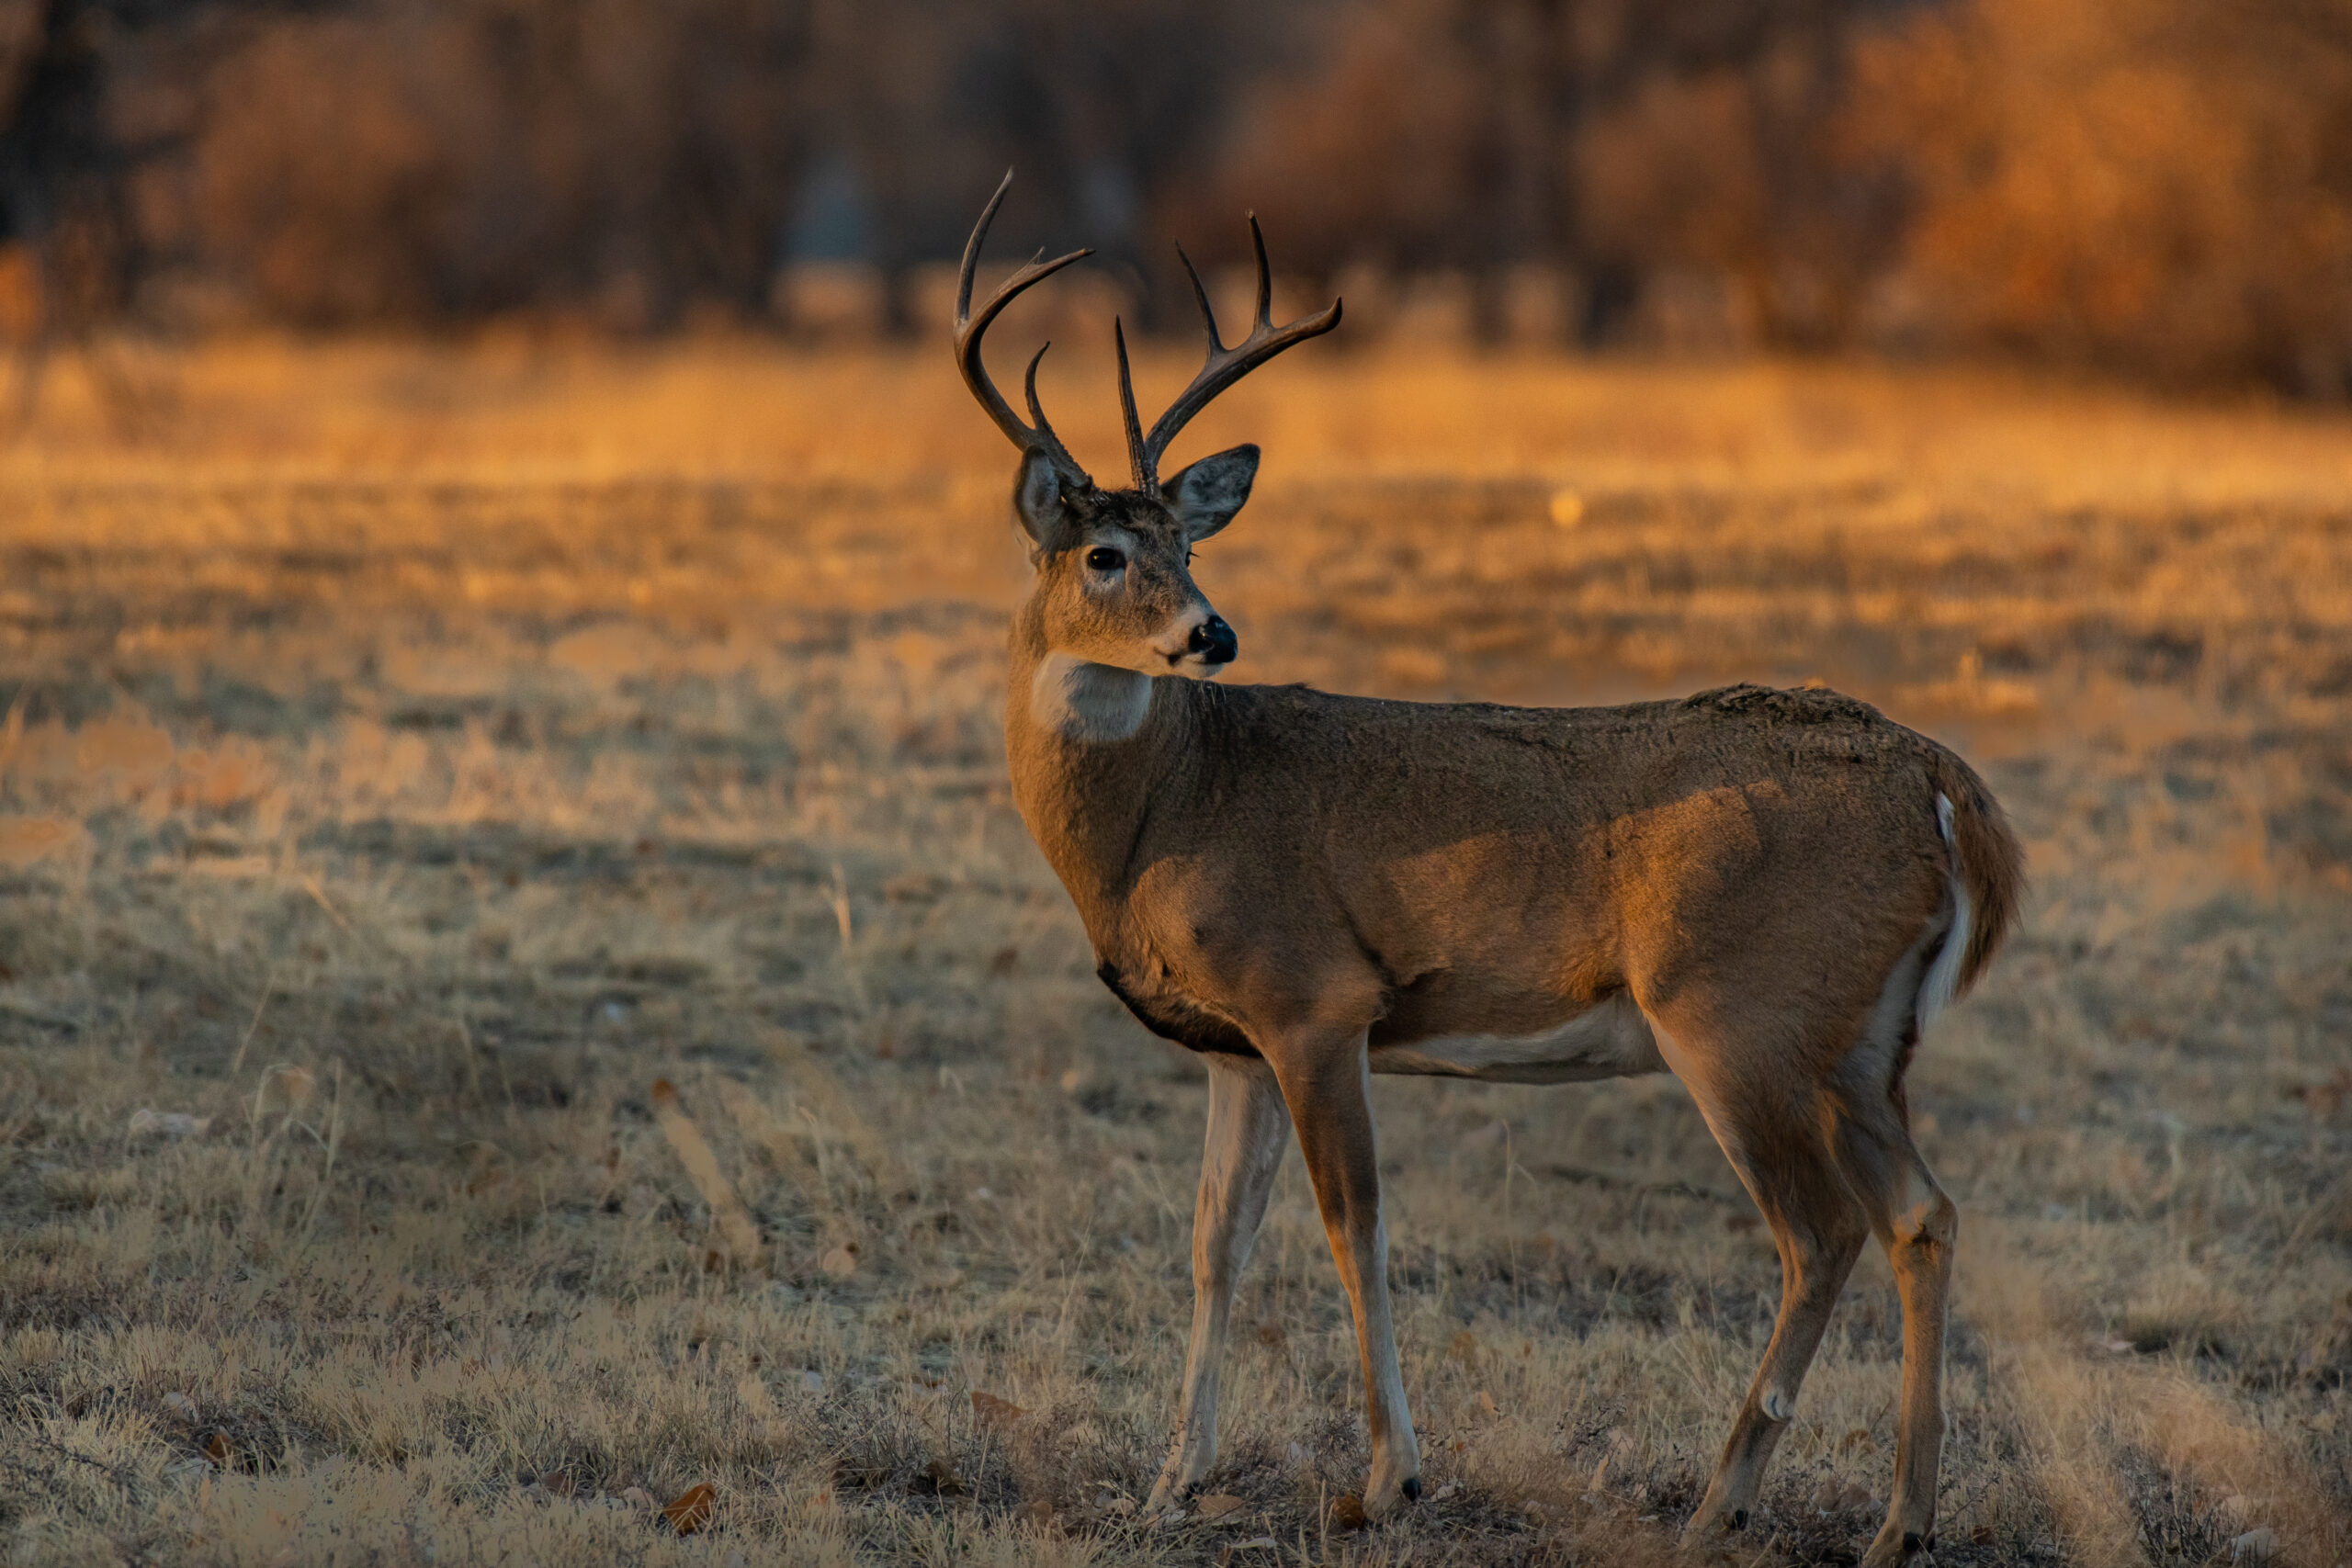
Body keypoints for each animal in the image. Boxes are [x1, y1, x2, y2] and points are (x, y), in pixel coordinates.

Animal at [955, 175, 2022, 1568]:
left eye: (1183, 546)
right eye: (1106, 555)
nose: (1213, 632)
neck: (1171, 808)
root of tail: (1943, 784)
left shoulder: (1316, 1000)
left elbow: (1354, 1228)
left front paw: (1385, 1480)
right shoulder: (1234, 1045)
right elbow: (1212, 1244)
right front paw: (1169, 1481)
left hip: (1736, 1013)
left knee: (1820, 1228)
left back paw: (1717, 1502)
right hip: (1858, 1041)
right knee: (1922, 1213)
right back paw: (1901, 1519)